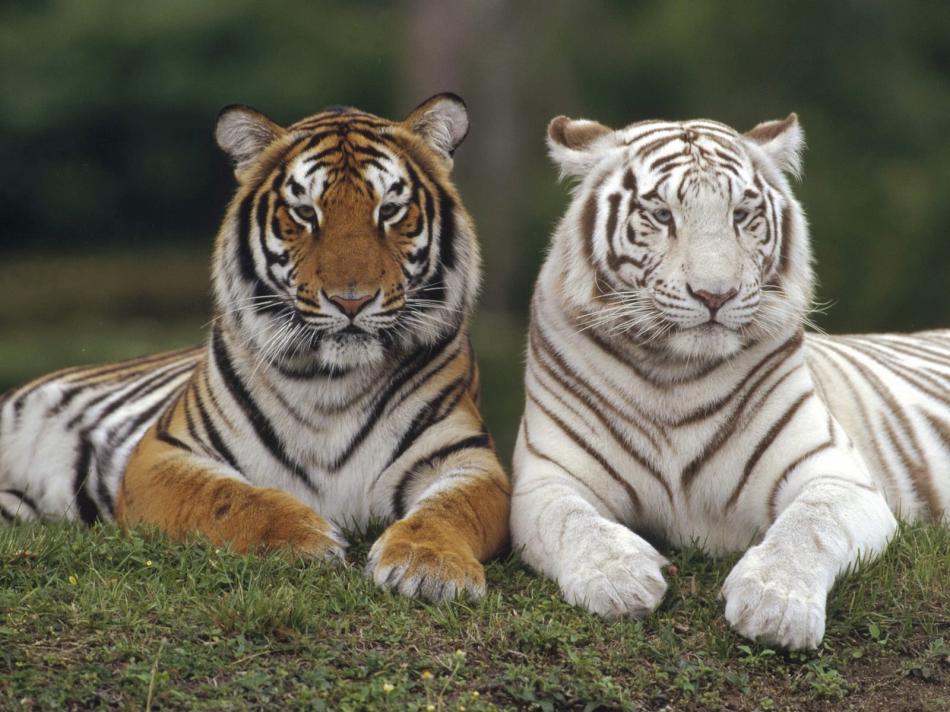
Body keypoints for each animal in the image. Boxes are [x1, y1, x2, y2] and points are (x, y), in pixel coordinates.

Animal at [0, 93, 510, 601]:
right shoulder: (163, 453)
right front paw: (305, 538)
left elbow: (451, 509)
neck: (333, 382)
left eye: (389, 210)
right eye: (305, 212)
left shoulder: (467, 457)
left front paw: (429, 565)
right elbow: (227, 497)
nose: (351, 300)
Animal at [511, 111, 950, 649]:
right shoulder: (546, 479)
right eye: (661, 215)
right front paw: (619, 578)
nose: (715, 294)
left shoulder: (837, 474)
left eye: (741, 214)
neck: (673, 375)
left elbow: (810, 525)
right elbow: (571, 522)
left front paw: (775, 605)